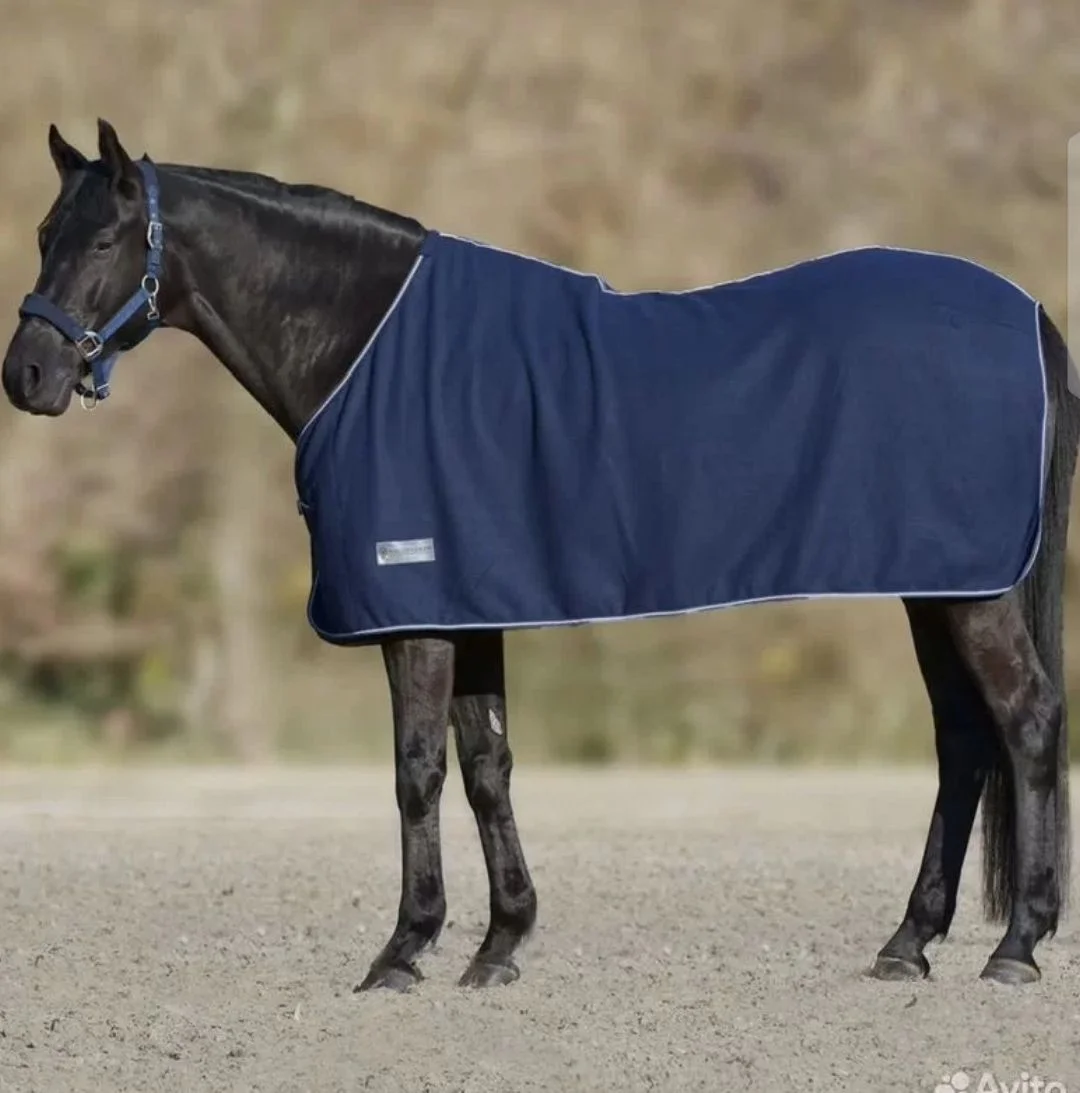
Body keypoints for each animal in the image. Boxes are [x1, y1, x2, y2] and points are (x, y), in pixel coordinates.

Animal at [3, 119, 1077, 991]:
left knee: (1024, 721)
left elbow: (418, 771)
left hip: (971, 593)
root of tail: (1026, 313)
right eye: (45, 234)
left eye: (105, 240)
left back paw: (1016, 945)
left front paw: (404, 950)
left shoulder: (418, 613)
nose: (29, 374)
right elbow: (489, 766)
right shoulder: (467, 606)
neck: (368, 348)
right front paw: (498, 944)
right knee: (963, 739)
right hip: (939, 584)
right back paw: (909, 943)